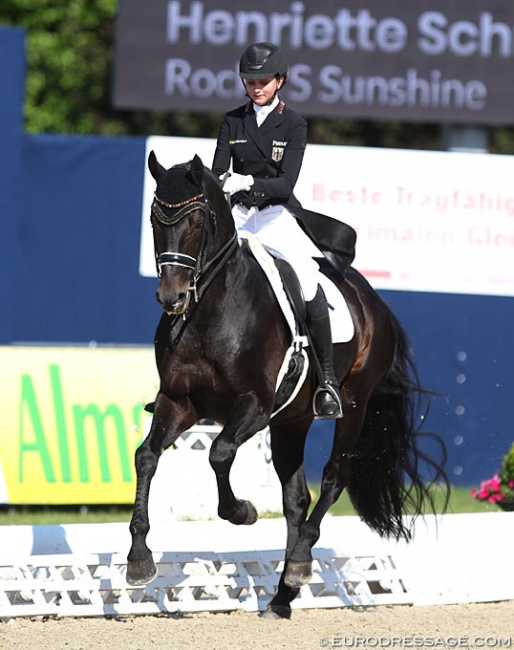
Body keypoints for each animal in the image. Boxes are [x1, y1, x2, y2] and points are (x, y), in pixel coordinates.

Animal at [126, 152, 446, 616]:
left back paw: (297, 564)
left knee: (333, 477)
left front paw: (241, 511)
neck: (209, 310)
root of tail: (372, 300)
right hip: (291, 421)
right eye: (154, 218)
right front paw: (138, 559)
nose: (173, 298)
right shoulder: (178, 401)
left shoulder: (255, 405)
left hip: (352, 404)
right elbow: (146, 456)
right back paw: (283, 593)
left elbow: (220, 453)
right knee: (296, 498)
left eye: (199, 219)